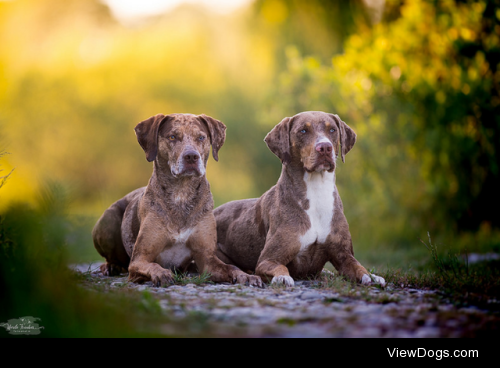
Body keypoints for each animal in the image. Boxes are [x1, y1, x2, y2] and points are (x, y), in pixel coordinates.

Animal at [216, 110, 386, 288]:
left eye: (332, 130)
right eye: (303, 131)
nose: (325, 147)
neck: (317, 192)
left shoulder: (344, 255)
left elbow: (359, 267)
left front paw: (372, 277)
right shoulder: (267, 260)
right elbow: (279, 267)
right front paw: (282, 277)